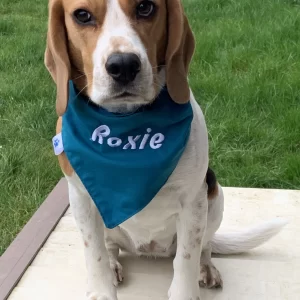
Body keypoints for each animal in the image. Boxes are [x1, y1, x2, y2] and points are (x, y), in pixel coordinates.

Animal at [44, 1, 286, 298]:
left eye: (146, 7)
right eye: (82, 15)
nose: (123, 65)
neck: (127, 128)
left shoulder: (193, 201)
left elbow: (187, 258)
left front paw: (187, 286)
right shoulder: (80, 198)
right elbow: (95, 253)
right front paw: (101, 288)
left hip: (215, 196)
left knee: (204, 246)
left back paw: (205, 267)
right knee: (110, 246)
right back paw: (113, 264)